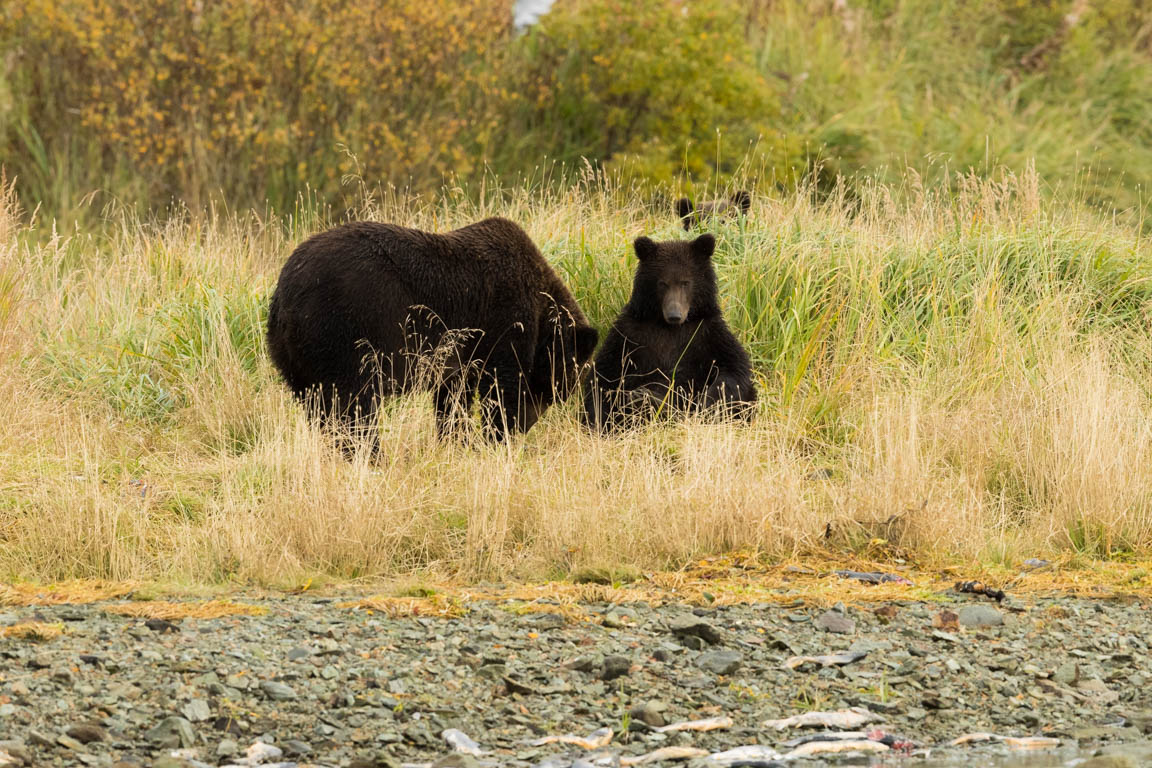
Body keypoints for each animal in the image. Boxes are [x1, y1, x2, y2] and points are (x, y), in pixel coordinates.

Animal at [266, 218, 599, 442]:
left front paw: (456, 441)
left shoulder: (456, 356)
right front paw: (497, 435)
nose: (526, 426)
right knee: (353, 407)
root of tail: (285, 292)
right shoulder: (504, 320)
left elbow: (452, 401)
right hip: (345, 334)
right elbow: (501, 389)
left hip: (294, 358)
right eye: (562, 387)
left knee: (319, 407)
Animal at [585, 231, 755, 430]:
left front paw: (707, 404)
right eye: (662, 283)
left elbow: (733, 368)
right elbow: (604, 375)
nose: (675, 314)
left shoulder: (707, 333)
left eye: (686, 282)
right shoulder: (631, 334)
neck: (669, 327)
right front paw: (599, 420)